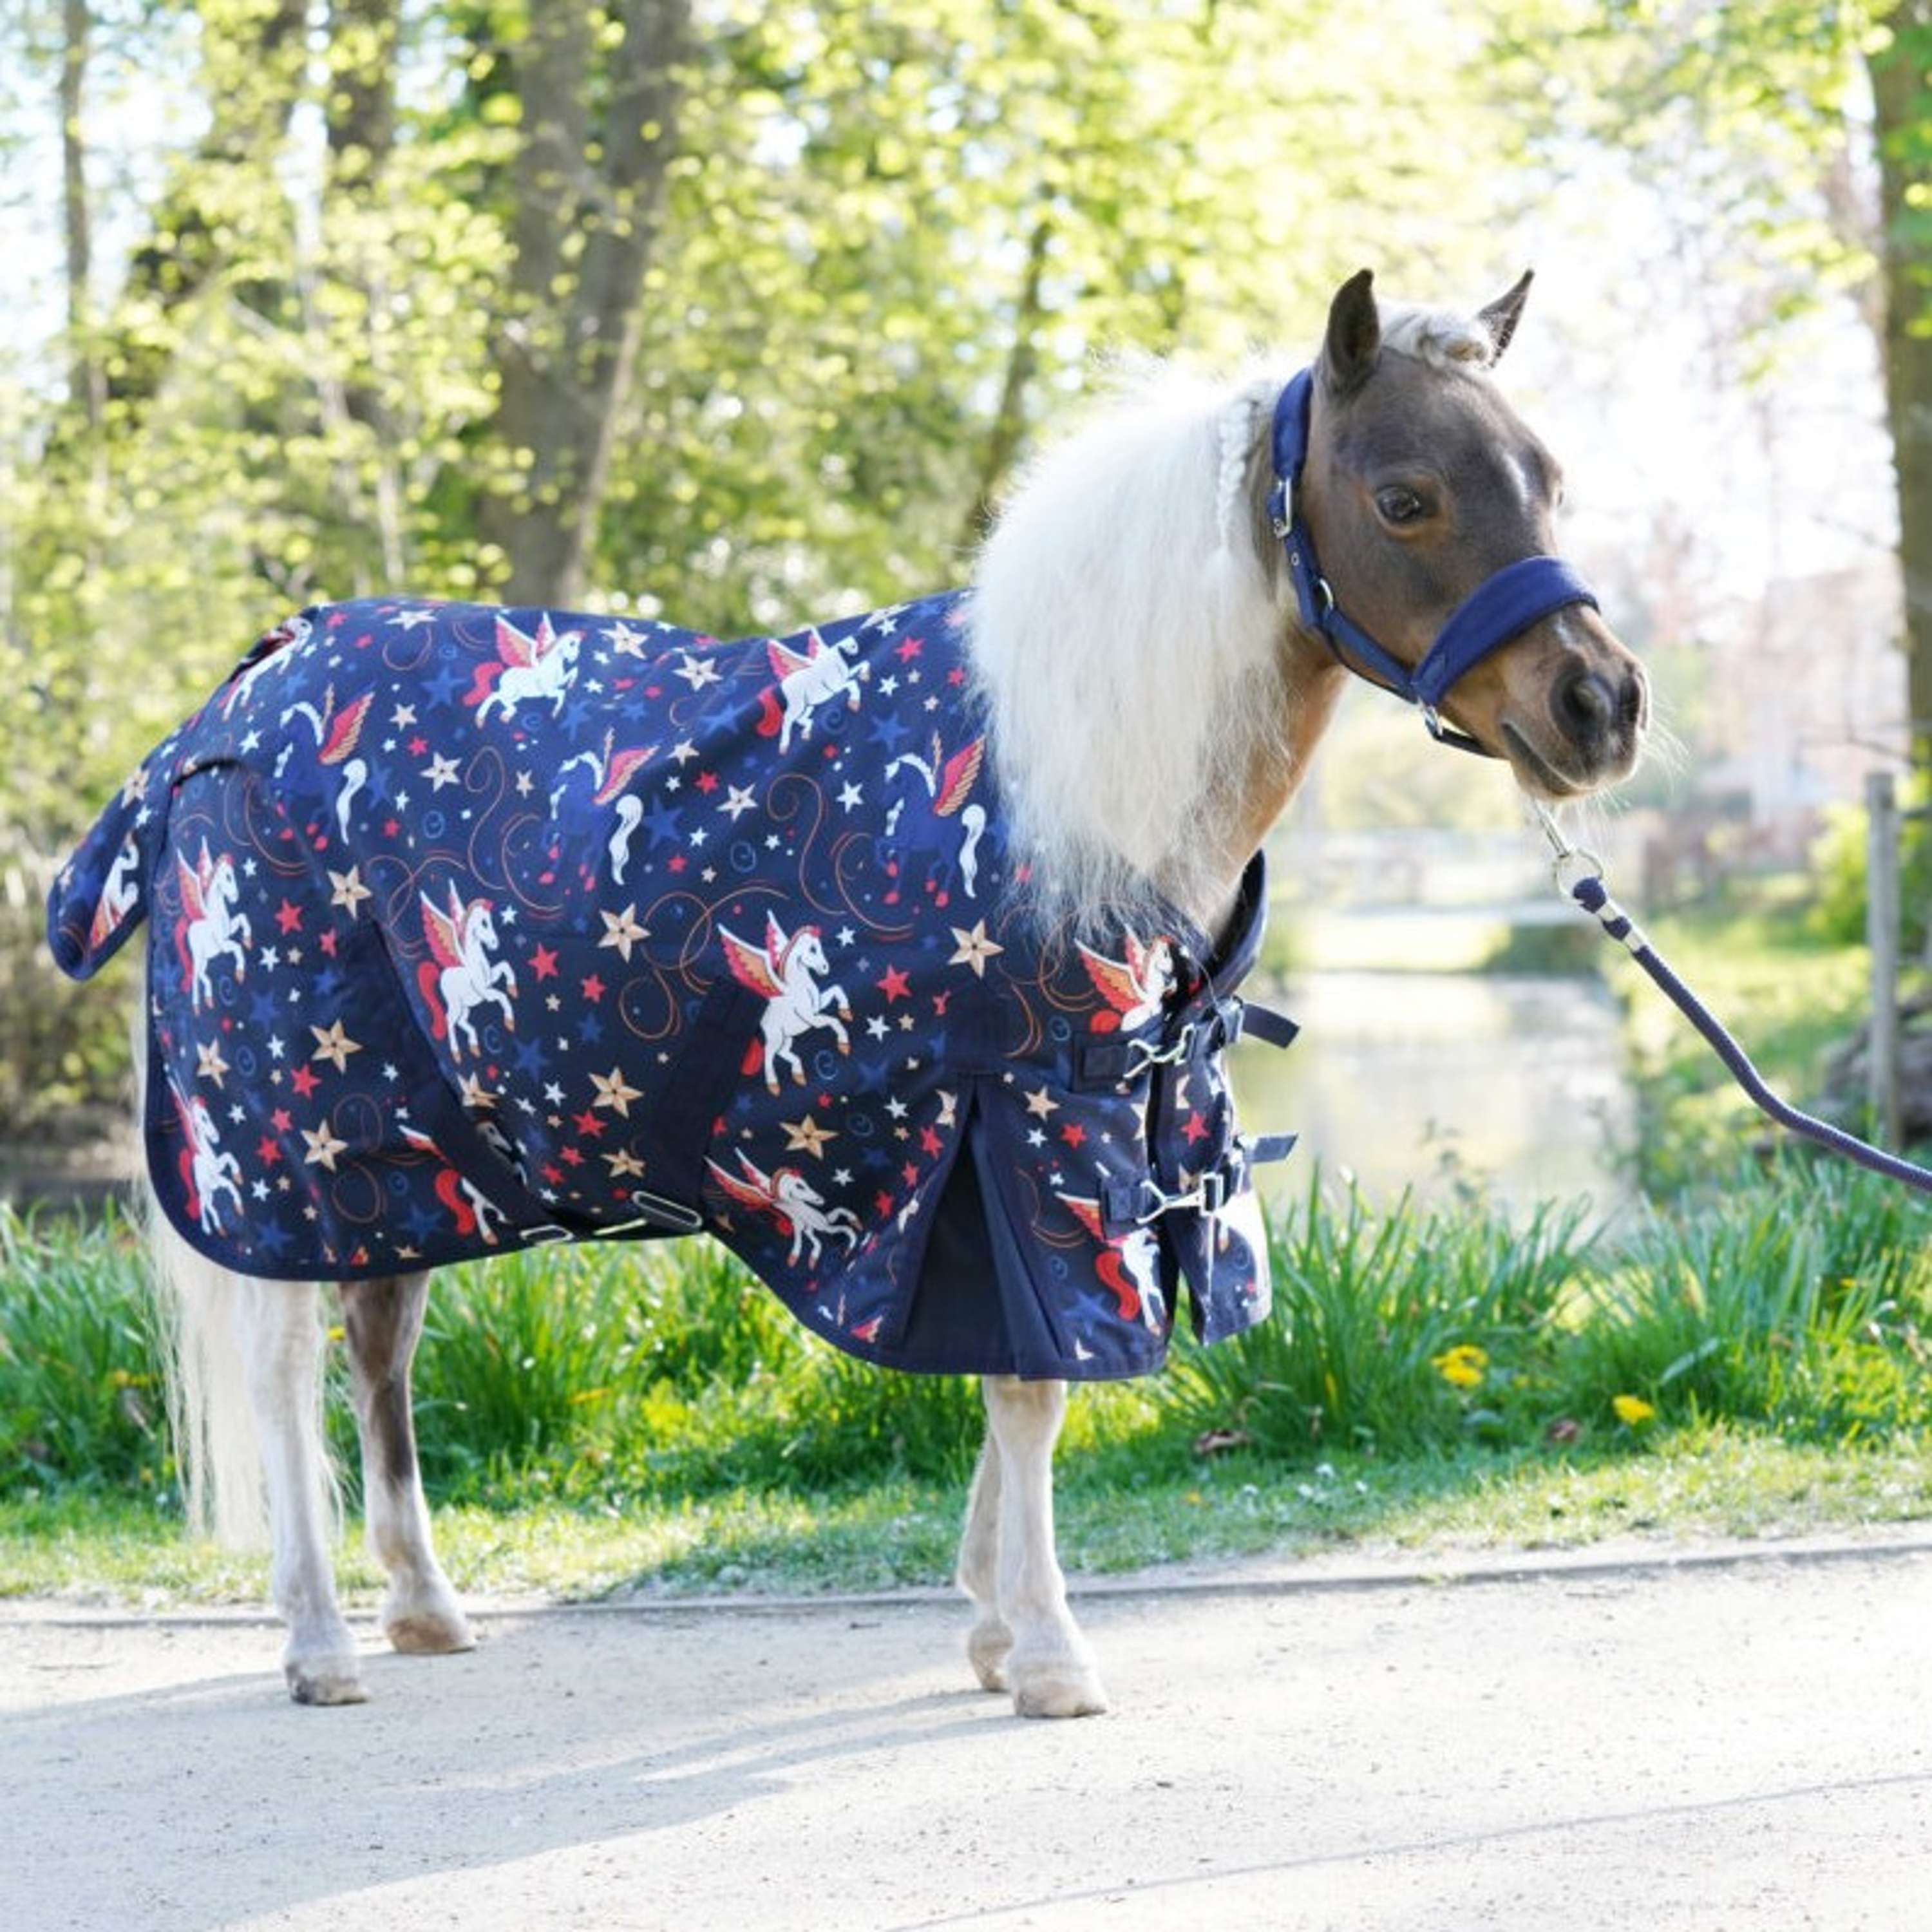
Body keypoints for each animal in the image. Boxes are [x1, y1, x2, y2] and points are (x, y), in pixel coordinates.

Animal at [56, 268, 1644, 1718]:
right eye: (1404, 498)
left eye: (1552, 479)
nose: (1600, 708)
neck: (1060, 776)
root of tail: (228, 714)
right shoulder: (1031, 1133)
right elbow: (1036, 1387)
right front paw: (1048, 1653)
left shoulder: (1044, 1143)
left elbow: (1008, 1388)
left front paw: (993, 1625)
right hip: (286, 1138)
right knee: (283, 1365)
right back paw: (319, 1644)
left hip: (401, 1150)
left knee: (380, 1341)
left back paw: (423, 1610)